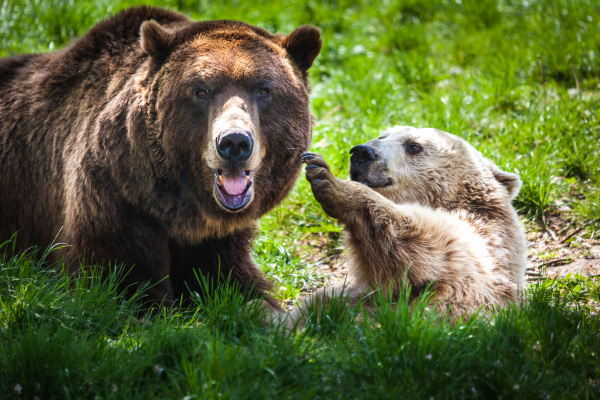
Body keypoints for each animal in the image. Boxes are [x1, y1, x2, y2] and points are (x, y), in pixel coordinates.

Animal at [0, 5, 324, 306]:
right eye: (201, 91)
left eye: (263, 90)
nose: (234, 143)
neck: (182, 211)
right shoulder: (114, 201)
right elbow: (122, 282)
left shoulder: (217, 239)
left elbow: (235, 284)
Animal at [288, 126, 528, 324]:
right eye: (382, 136)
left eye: (414, 146)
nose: (361, 152)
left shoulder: (481, 244)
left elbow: (429, 249)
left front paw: (328, 178)